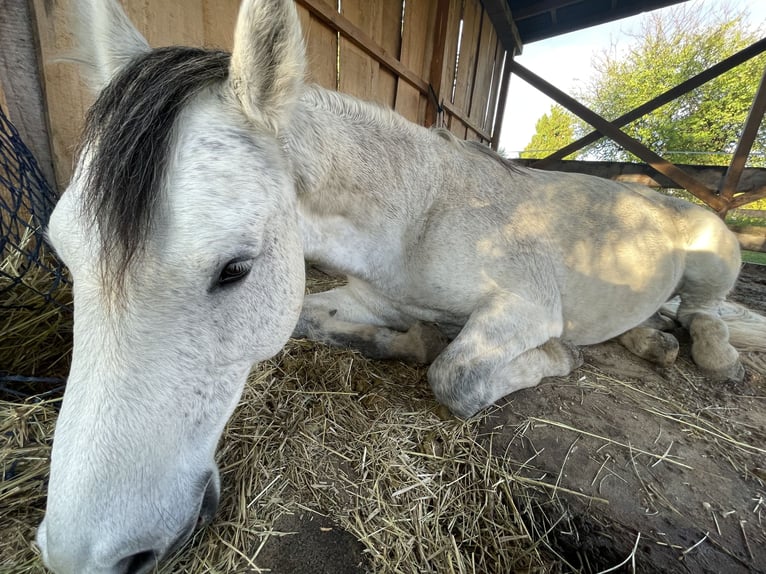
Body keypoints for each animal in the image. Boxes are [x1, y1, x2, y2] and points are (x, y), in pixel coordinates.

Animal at [37, 0, 766, 572]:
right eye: (65, 253)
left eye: (235, 268)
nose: (88, 555)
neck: (420, 214)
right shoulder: (363, 296)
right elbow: (334, 327)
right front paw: (412, 337)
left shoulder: (527, 306)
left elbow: (457, 377)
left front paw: (556, 356)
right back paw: (651, 340)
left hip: (713, 255)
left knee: (705, 314)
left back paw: (710, 356)